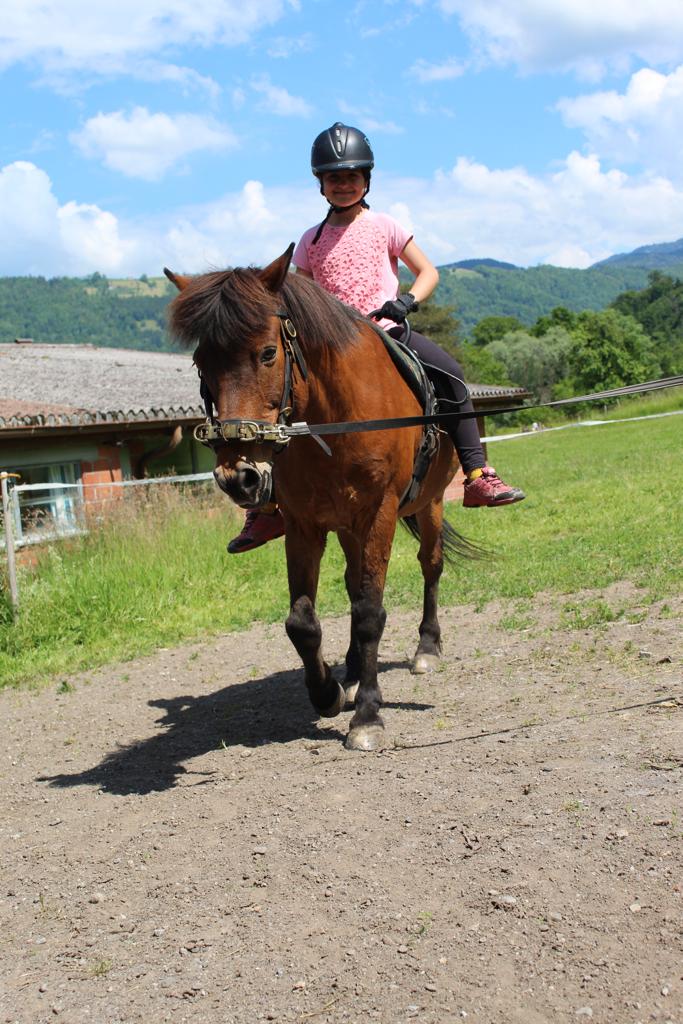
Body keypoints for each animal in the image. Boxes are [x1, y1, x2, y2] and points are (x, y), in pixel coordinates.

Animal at [165, 244, 471, 752]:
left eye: (268, 353)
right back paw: (351, 671)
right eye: (201, 365)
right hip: (347, 527)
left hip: (427, 504)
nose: (238, 477)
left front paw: (367, 716)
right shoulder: (304, 523)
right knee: (352, 584)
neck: (336, 418)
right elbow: (302, 622)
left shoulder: (379, 513)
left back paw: (427, 648)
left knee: (431, 565)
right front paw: (328, 691)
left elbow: (369, 612)